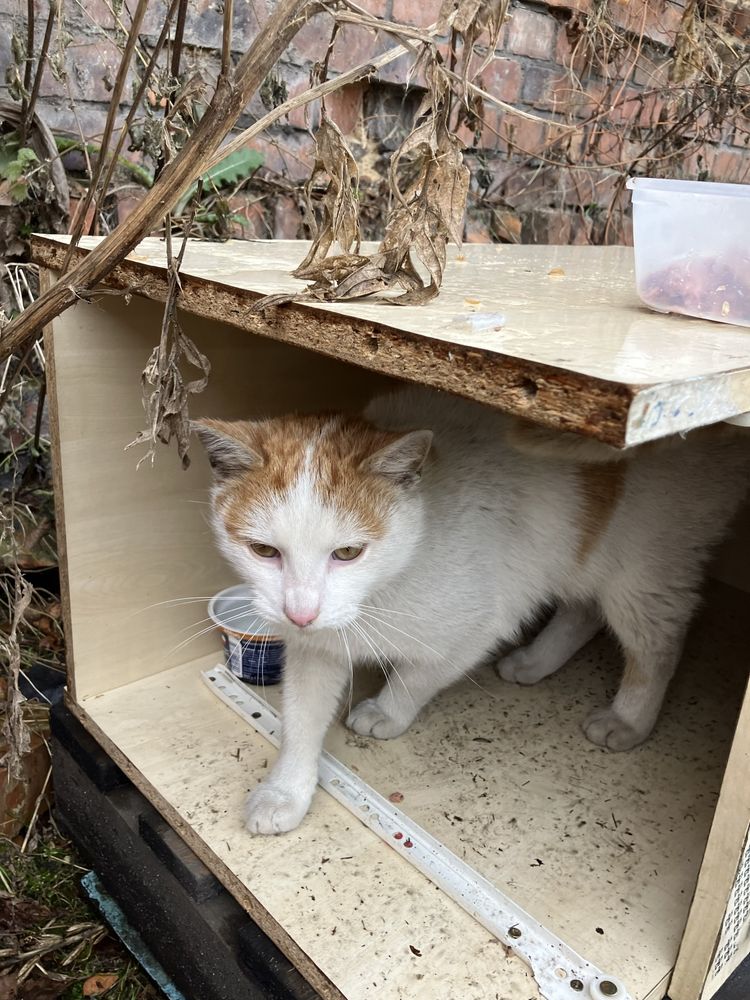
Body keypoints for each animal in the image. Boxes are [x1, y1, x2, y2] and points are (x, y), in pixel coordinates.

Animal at [195, 388, 750, 836]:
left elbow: (418, 676)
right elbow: (301, 720)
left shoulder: (475, 628)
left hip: (644, 569)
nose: (300, 612)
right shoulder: (316, 648)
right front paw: (285, 791)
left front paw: (388, 711)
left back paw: (629, 719)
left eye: (348, 553)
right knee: (583, 609)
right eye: (264, 551)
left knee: (656, 644)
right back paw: (535, 662)